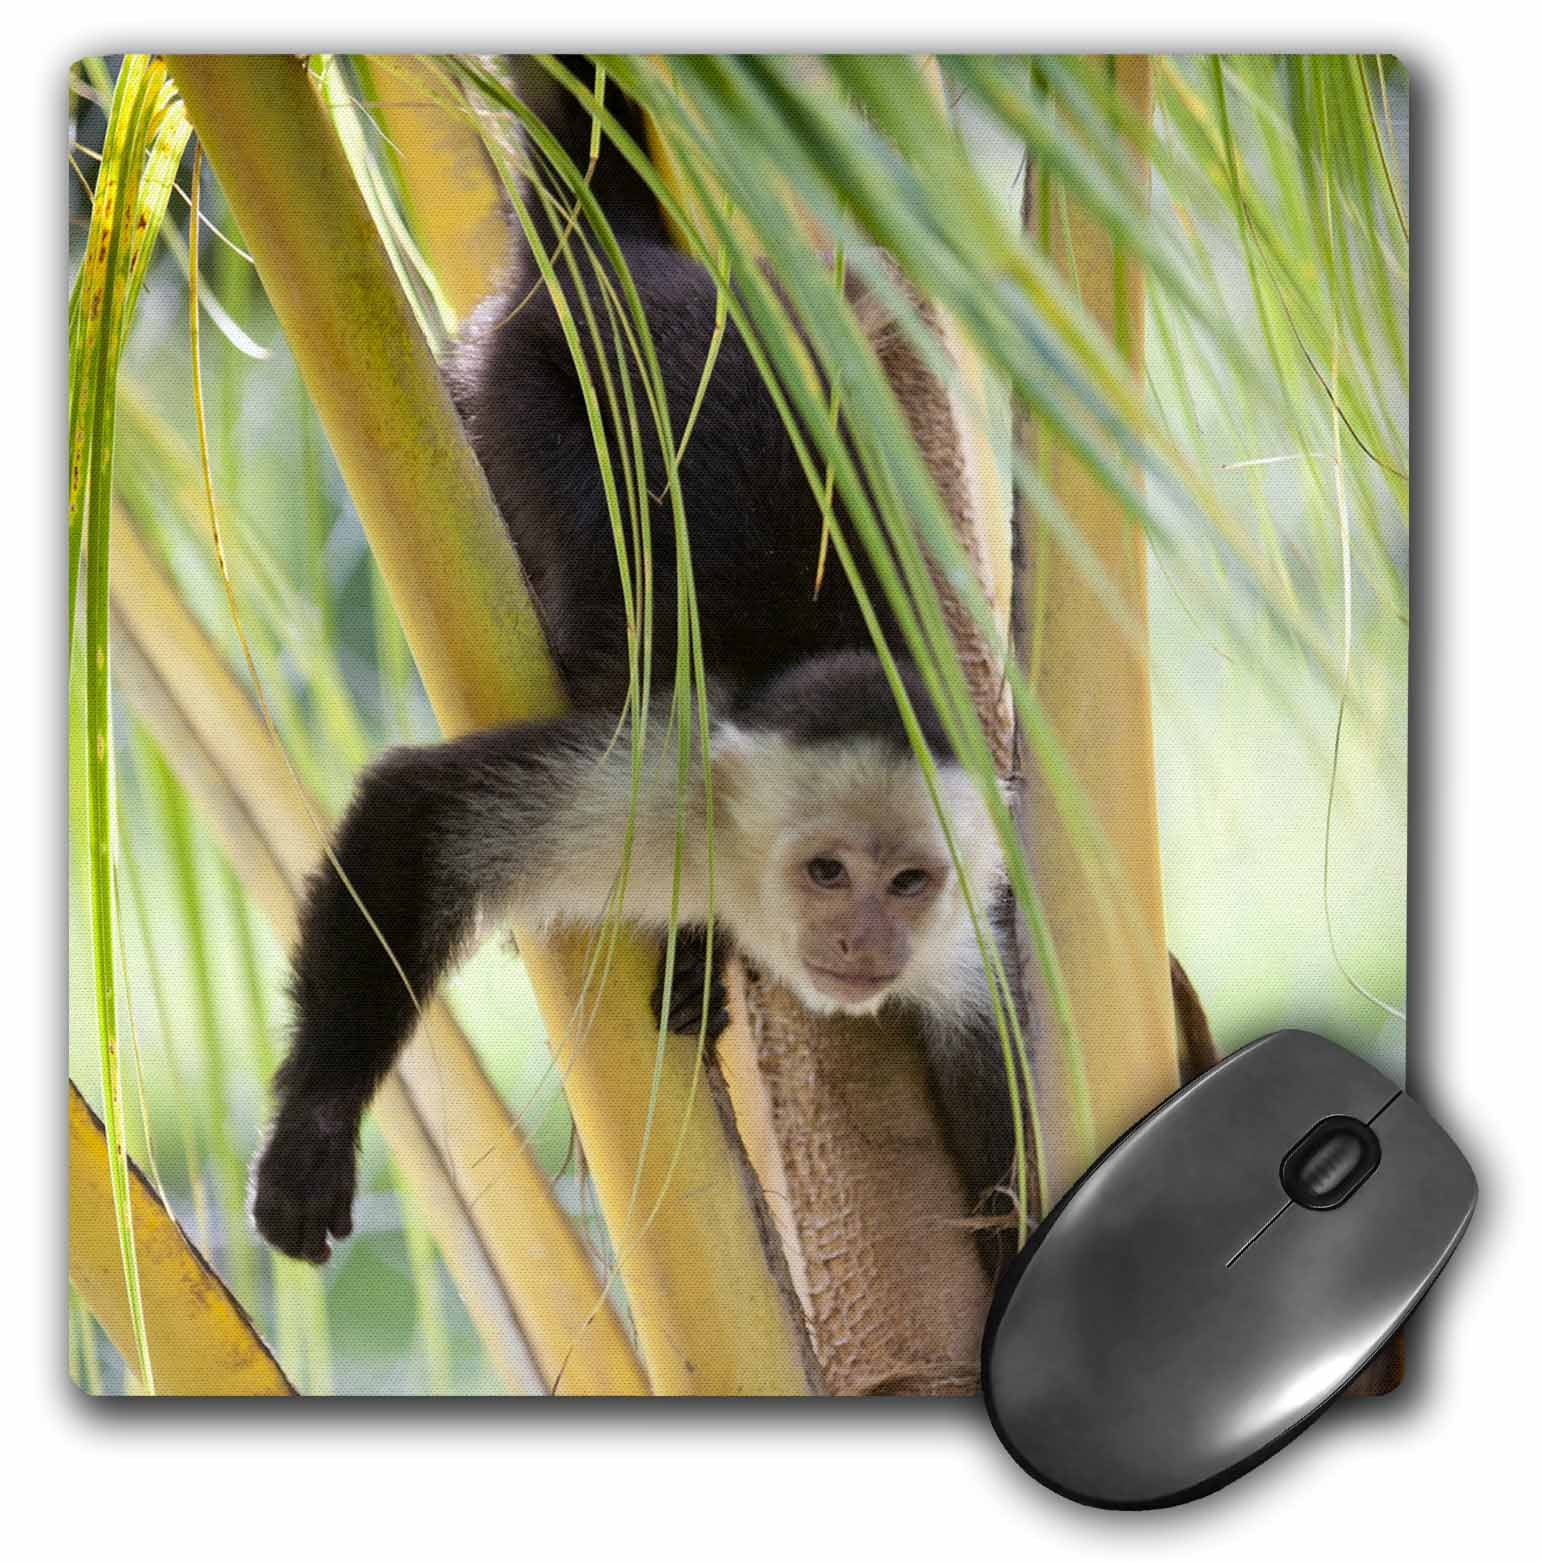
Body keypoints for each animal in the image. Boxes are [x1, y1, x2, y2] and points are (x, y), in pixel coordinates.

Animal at [251, 59, 1203, 1269]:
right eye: (827, 871)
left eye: (907, 882)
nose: (863, 939)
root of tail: (627, 265)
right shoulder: (652, 788)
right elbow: (414, 815)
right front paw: (315, 1130)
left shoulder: (961, 915)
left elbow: (996, 1091)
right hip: (511, 388)